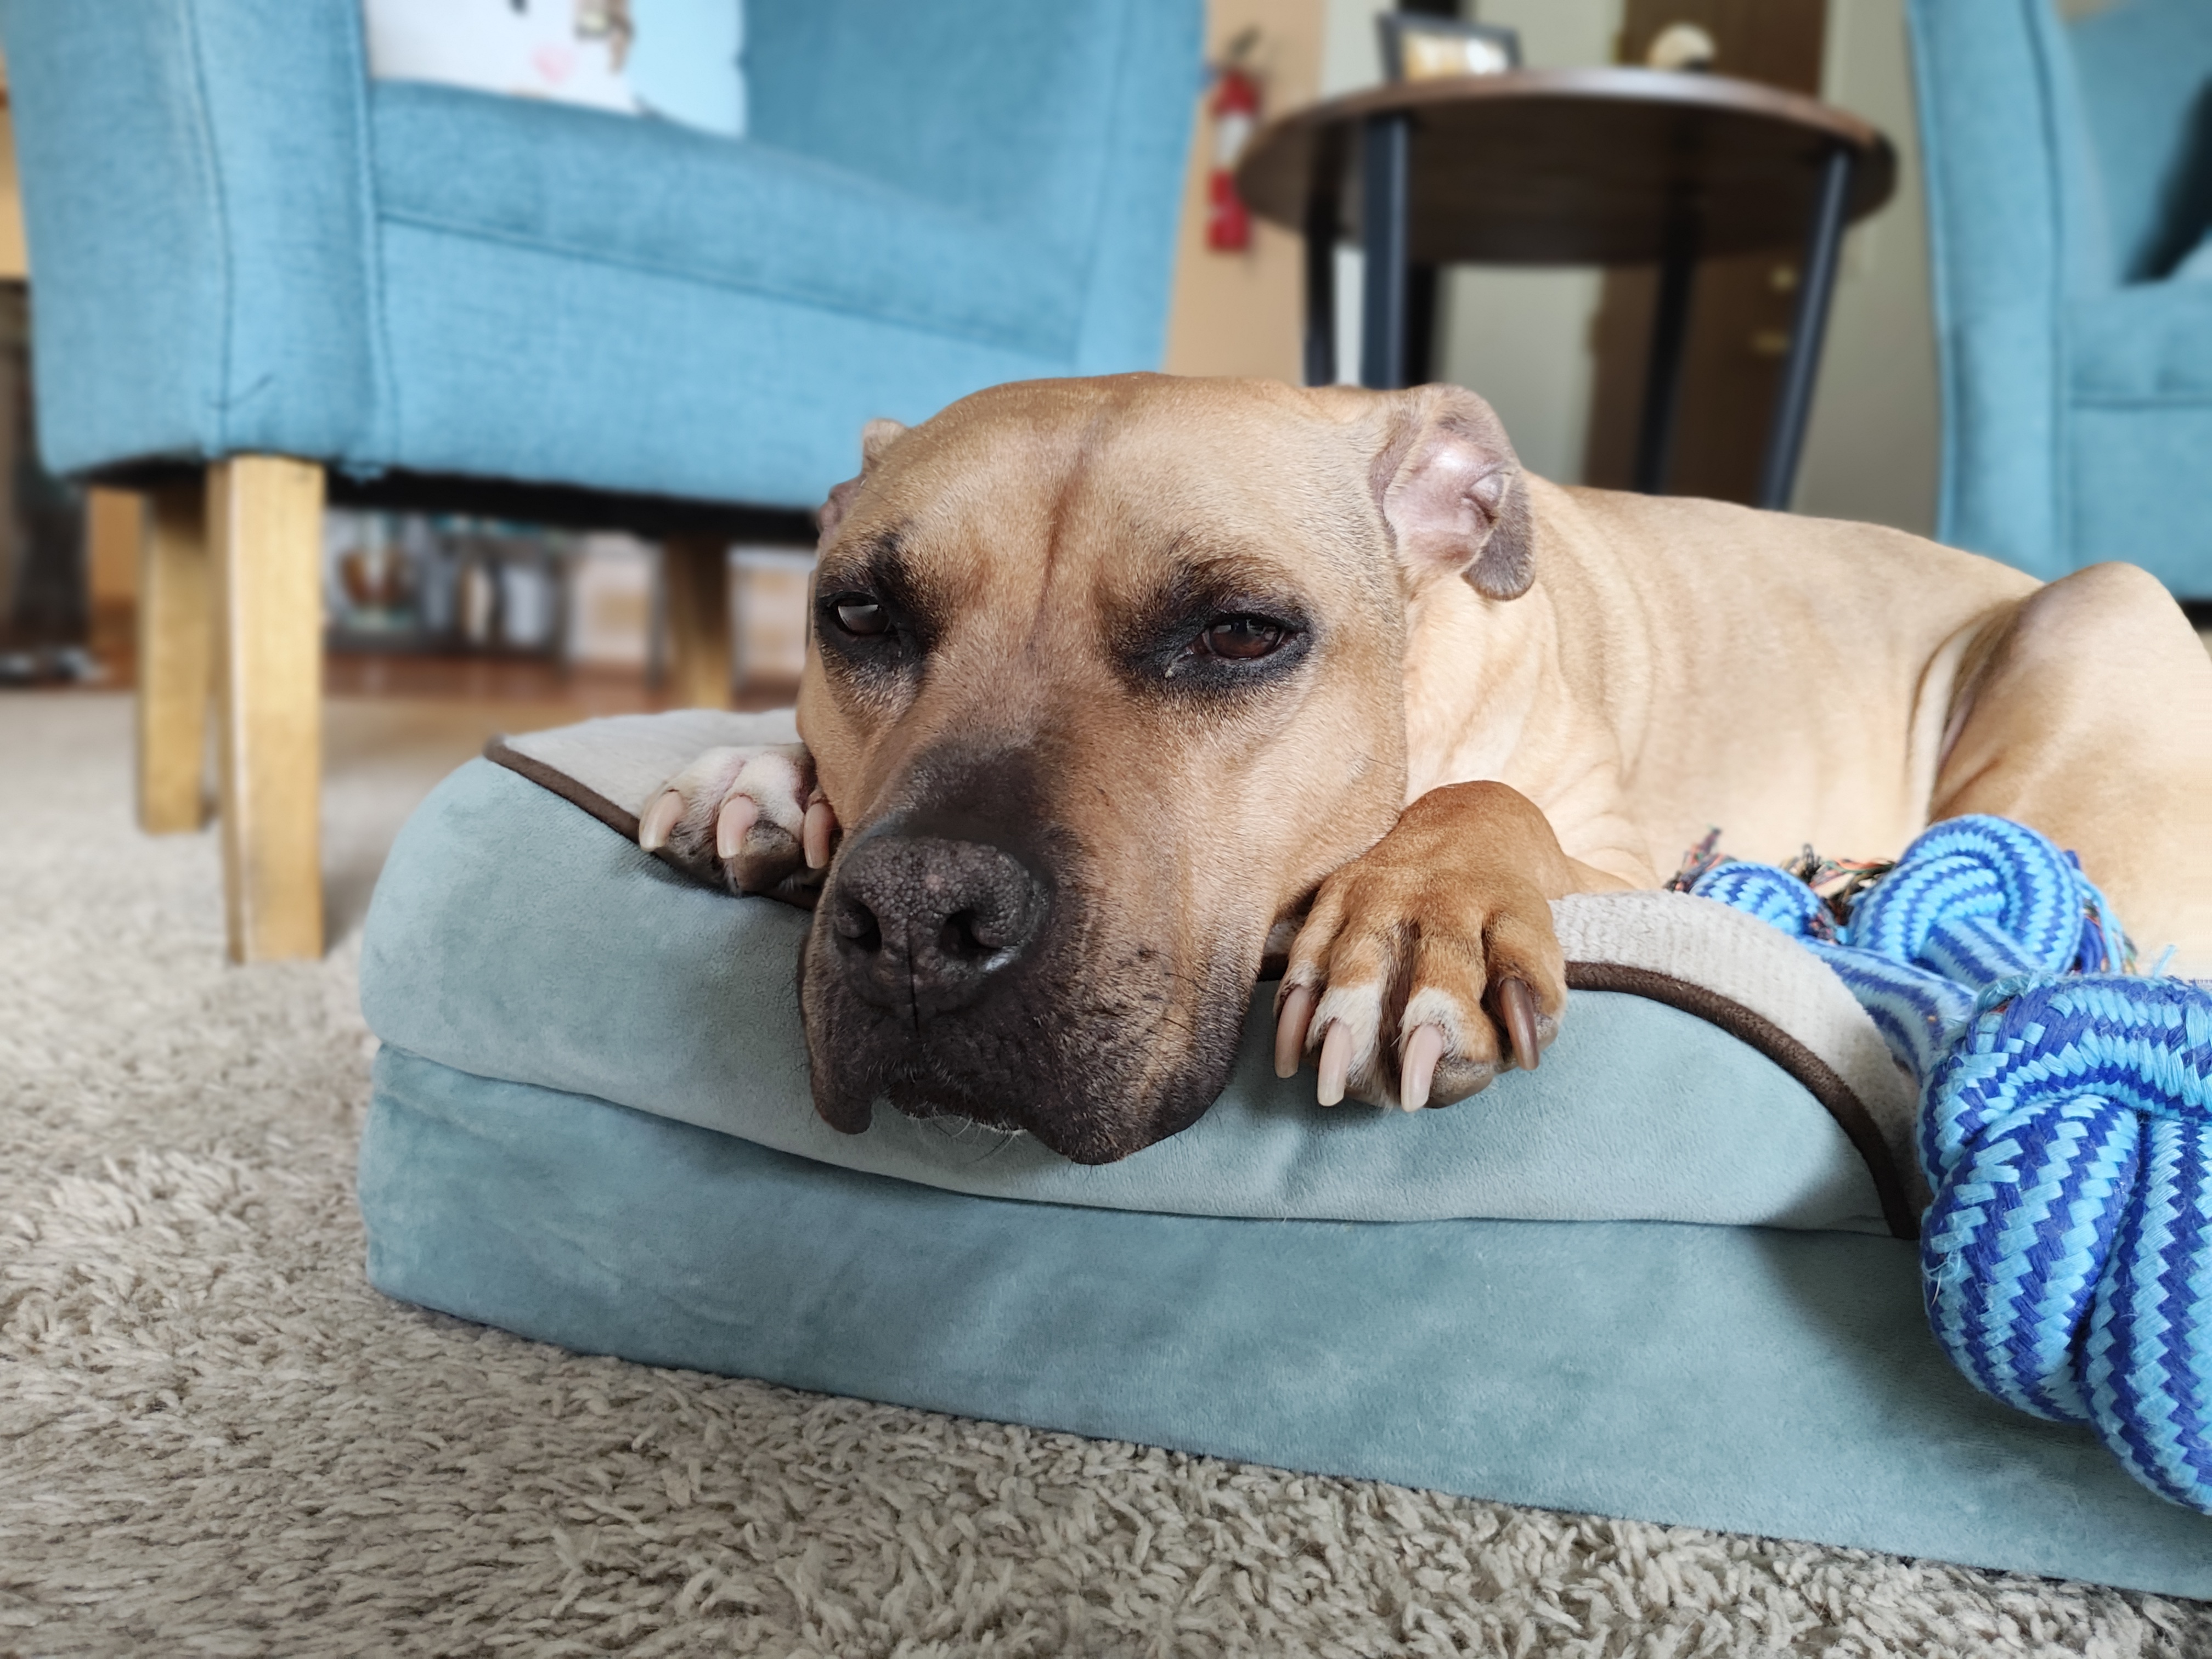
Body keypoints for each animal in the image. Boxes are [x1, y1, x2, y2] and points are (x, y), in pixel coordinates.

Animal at [641, 374, 2212, 1167]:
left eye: (1240, 633)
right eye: (857, 615)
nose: (918, 920)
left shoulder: (1619, 846)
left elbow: (1487, 803)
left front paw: (1414, 922)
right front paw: (763, 777)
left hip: (2098, 612)